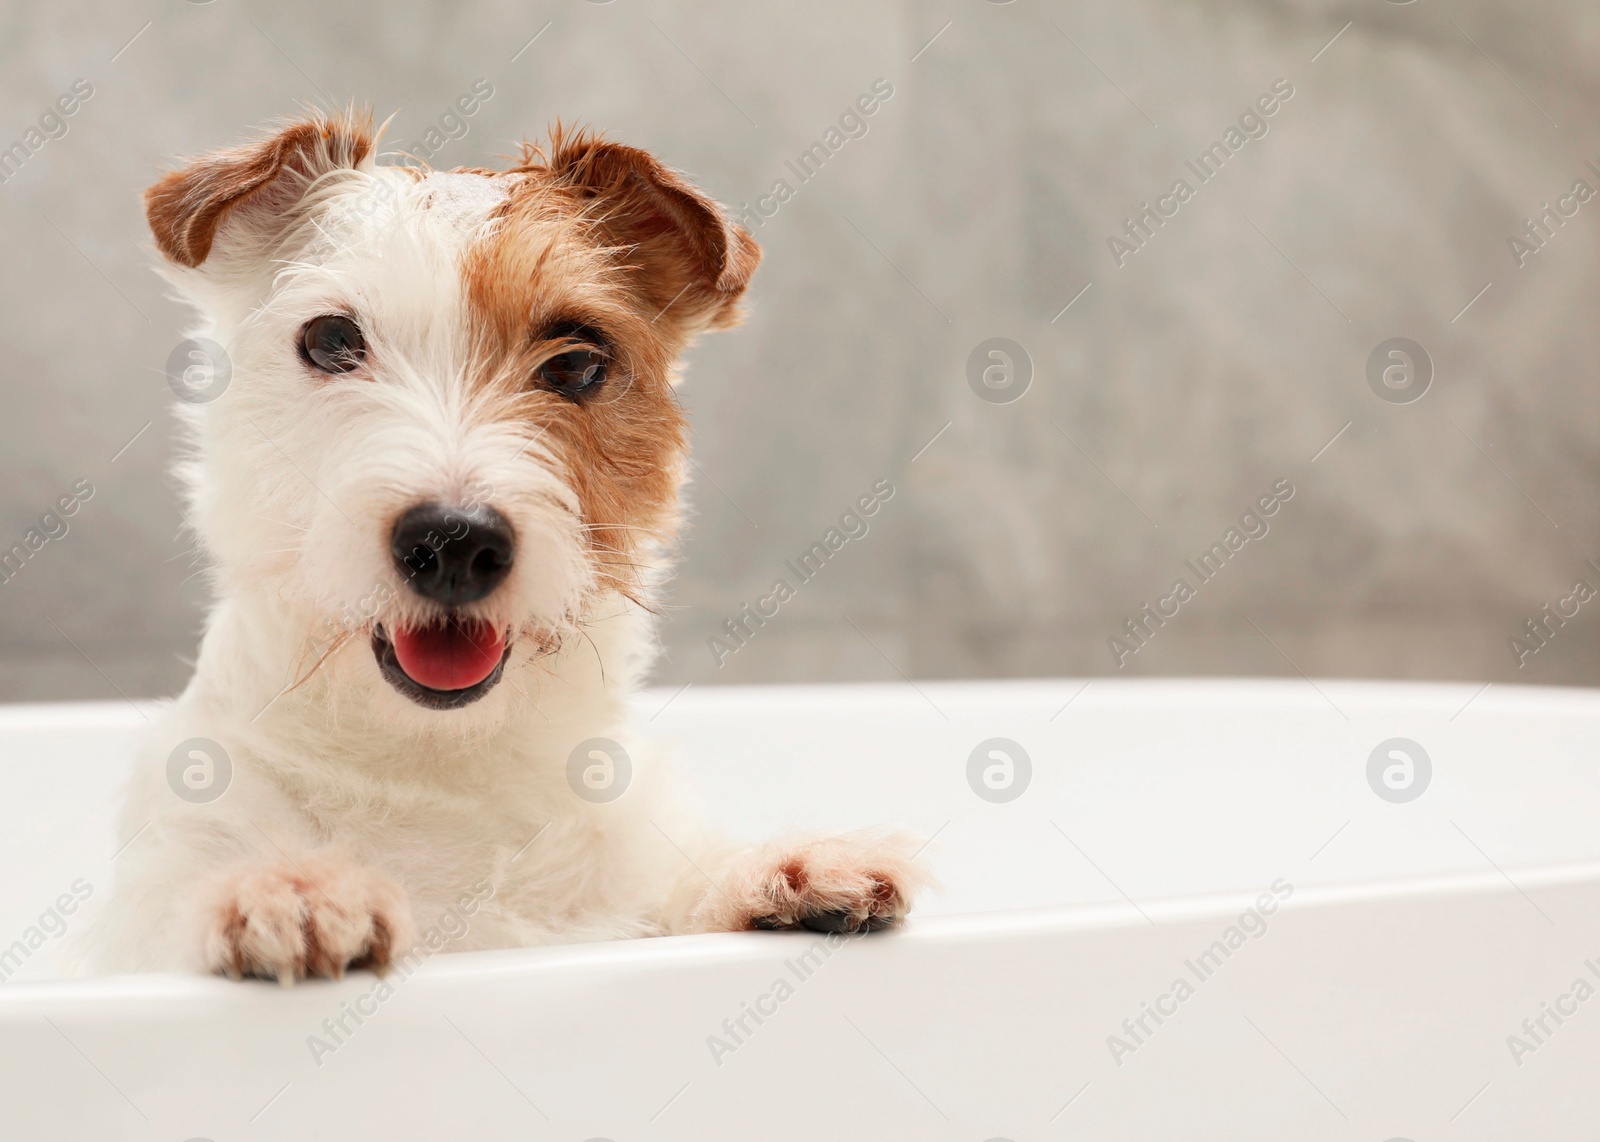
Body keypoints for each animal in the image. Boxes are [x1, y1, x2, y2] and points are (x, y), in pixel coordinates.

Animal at [81, 108, 934, 978]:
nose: (453, 543)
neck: (433, 761)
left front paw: (775, 872)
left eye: (578, 361)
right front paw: (287, 888)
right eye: (329, 341)